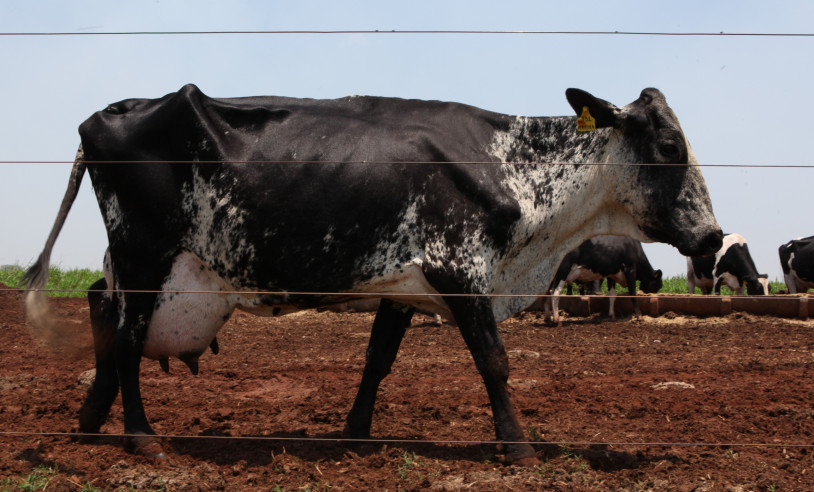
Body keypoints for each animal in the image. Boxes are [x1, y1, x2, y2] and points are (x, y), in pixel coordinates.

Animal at [25, 84, 724, 466]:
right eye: (669, 147)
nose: (713, 236)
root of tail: (112, 112)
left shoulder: (405, 284)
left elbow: (377, 360)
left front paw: (355, 433)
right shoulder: (460, 272)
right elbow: (495, 362)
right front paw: (518, 445)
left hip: (135, 267)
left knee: (105, 317)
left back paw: (88, 422)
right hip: (144, 258)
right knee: (124, 341)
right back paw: (141, 436)